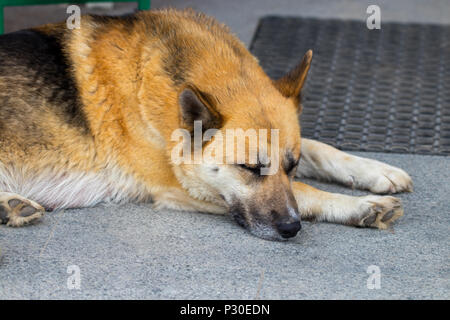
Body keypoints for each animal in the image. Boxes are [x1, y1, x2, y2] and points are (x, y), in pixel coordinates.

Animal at [0, 8, 412, 240]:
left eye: (291, 166)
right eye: (249, 168)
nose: (292, 230)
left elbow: (319, 150)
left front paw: (377, 171)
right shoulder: (180, 188)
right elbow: (308, 193)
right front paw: (360, 206)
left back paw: (11, 208)